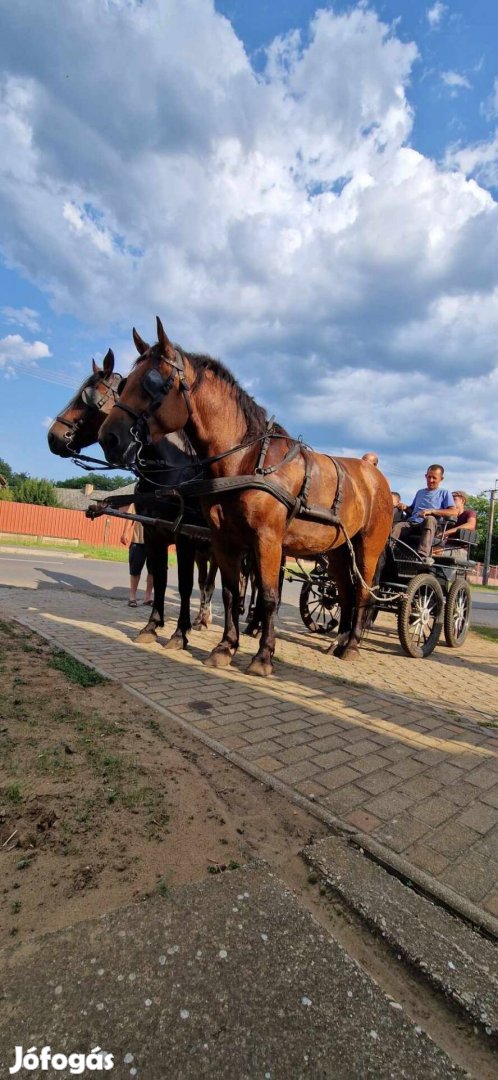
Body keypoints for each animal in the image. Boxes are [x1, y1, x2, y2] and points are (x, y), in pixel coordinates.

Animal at [98, 315, 393, 678]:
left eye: (152, 383)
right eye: (126, 382)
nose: (109, 438)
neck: (246, 459)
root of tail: (375, 477)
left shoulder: (267, 541)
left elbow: (267, 597)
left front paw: (263, 657)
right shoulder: (225, 540)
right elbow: (229, 592)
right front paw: (224, 647)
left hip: (367, 549)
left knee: (363, 593)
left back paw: (350, 646)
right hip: (337, 551)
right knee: (346, 593)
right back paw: (336, 643)